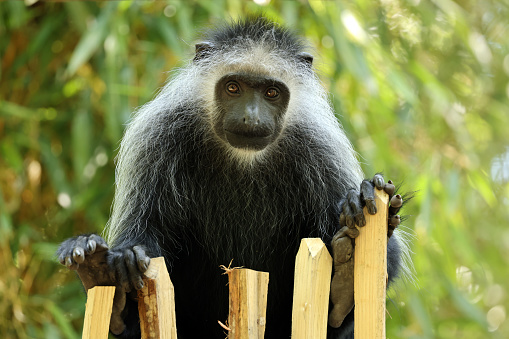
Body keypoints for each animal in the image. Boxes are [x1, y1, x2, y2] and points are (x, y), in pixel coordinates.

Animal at [57, 17, 410, 338]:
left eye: (271, 92)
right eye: (233, 88)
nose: (250, 118)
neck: (244, 157)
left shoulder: (321, 150)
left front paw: (364, 204)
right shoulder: (157, 138)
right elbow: (144, 228)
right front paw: (129, 256)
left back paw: (346, 279)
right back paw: (97, 275)